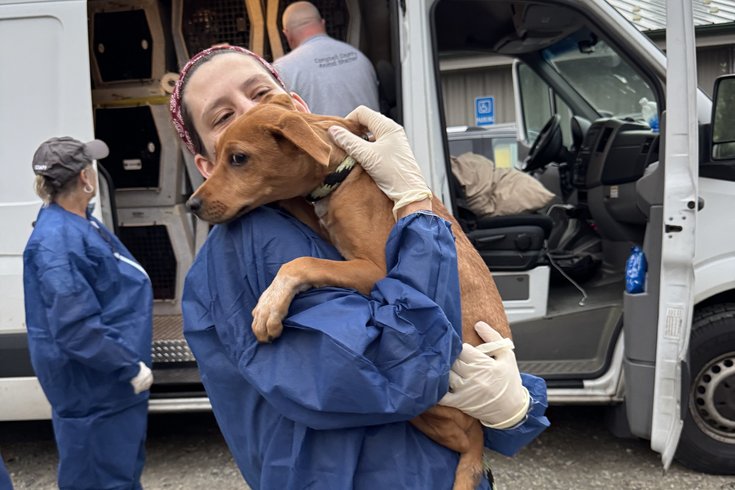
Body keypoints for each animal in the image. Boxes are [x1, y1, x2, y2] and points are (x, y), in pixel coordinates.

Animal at [188, 93, 512, 490]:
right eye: (218, 155)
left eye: (238, 158)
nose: (192, 205)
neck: (344, 173)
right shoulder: (326, 231)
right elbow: (301, 217)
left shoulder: (375, 270)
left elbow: (302, 262)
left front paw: (269, 306)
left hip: (437, 409)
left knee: (466, 444)